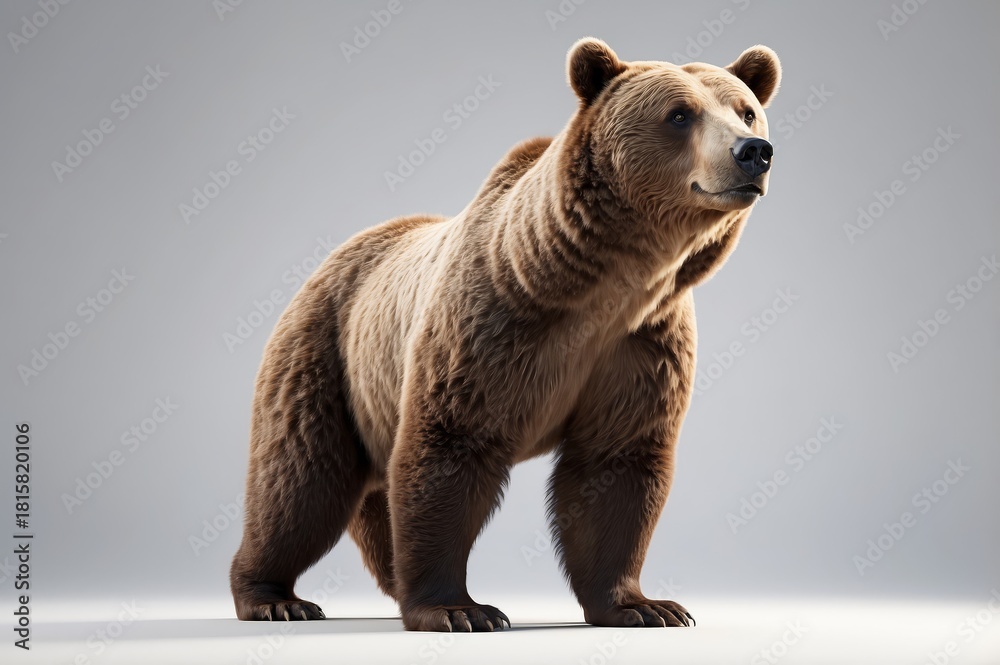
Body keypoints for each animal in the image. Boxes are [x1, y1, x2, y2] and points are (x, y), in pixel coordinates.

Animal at [230, 37, 780, 631]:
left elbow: (618, 465)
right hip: (325, 354)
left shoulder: (642, 344)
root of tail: (330, 259)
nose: (754, 151)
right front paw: (459, 609)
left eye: (746, 110)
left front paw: (645, 606)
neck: (603, 285)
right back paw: (275, 597)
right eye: (680, 114)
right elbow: (450, 450)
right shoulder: (493, 324)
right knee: (301, 481)